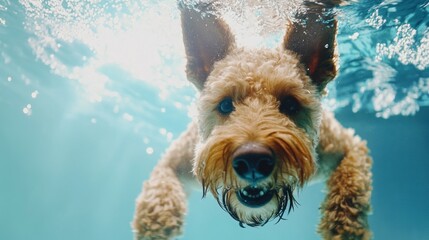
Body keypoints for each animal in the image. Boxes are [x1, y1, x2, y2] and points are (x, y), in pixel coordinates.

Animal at [130, 0, 372, 239]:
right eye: (225, 104)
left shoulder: (347, 147)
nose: (253, 161)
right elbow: (159, 191)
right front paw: (155, 225)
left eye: (290, 104)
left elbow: (351, 187)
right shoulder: (176, 160)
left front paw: (343, 227)